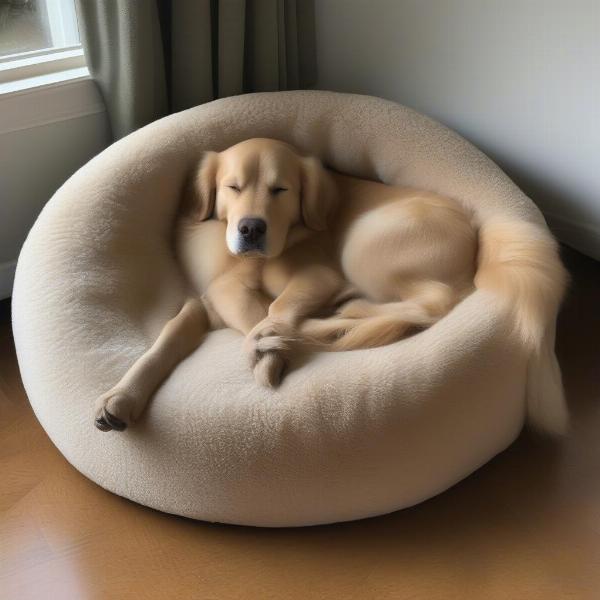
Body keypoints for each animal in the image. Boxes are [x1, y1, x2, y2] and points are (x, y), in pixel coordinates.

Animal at [94, 137, 568, 436]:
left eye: (280, 189)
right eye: (232, 187)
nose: (251, 228)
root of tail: (479, 234)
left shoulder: (318, 274)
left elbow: (272, 312)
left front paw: (269, 348)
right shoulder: (207, 301)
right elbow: (169, 337)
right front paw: (121, 397)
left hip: (363, 242)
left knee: (431, 304)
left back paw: (342, 317)